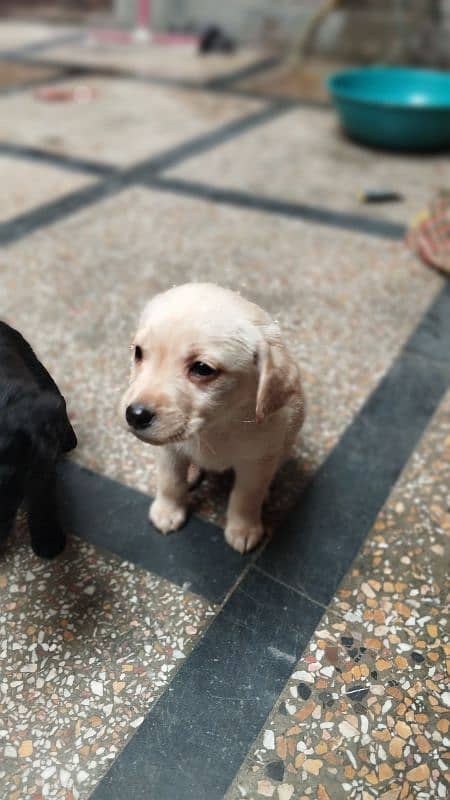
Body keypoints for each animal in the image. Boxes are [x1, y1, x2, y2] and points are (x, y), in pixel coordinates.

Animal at [120, 284, 306, 552]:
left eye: (202, 369)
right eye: (138, 352)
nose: (135, 415)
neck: (216, 427)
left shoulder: (258, 460)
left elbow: (246, 496)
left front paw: (243, 528)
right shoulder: (169, 452)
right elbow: (170, 481)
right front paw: (167, 510)